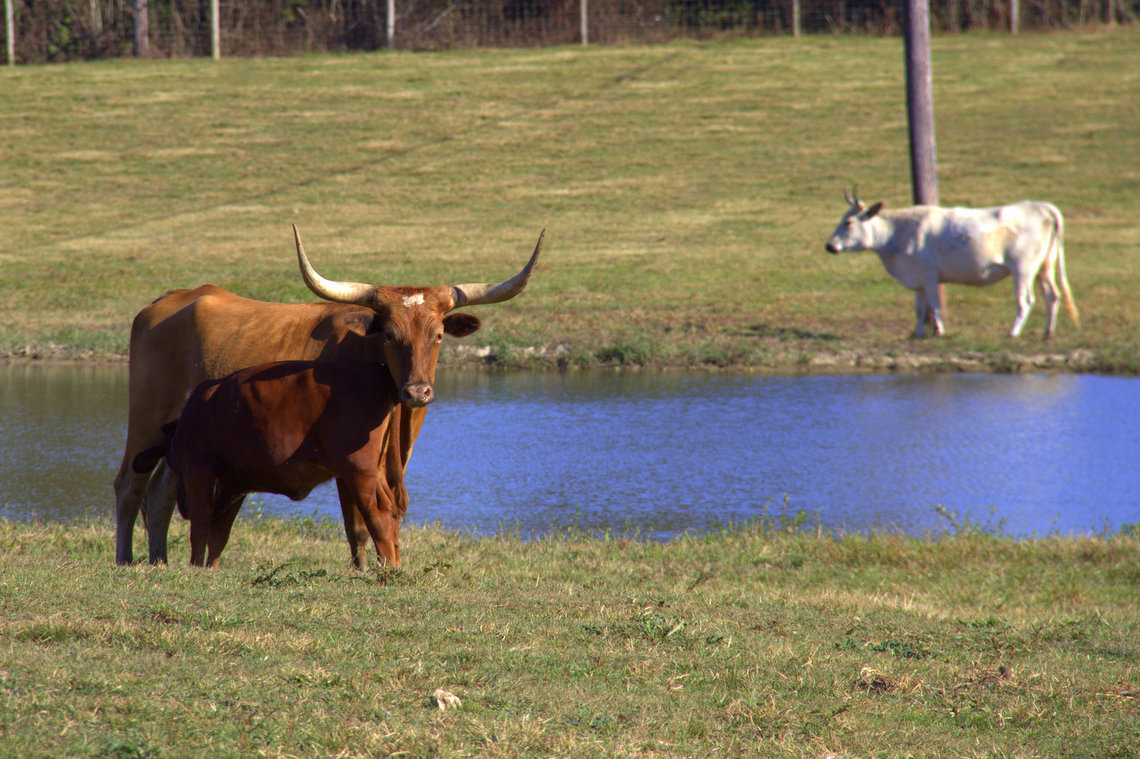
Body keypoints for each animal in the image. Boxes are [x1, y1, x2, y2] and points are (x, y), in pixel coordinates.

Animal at [132, 360, 405, 568]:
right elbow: (219, 532)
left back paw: (387, 570)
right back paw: (394, 566)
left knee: (378, 513)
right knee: (392, 511)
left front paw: (195, 567)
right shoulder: (234, 483)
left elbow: (200, 526)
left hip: (358, 472)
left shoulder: (198, 473)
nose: (183, 505)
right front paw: (210, 568)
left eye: (173, 463)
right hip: (374, 473)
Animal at [824, 187, 1078, 339]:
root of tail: (1040, 205)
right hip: (1045, 267)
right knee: (1053, 295)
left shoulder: (929, 275)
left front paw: (939, 332)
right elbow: (919, 308)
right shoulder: (918, 277)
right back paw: (1047, 333)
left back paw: (1013, 333)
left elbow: (934, 305)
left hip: (1023, 269)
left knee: (1025, 301)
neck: (898, 234)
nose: (829, 246)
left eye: (848, 222)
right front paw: (918, 333)